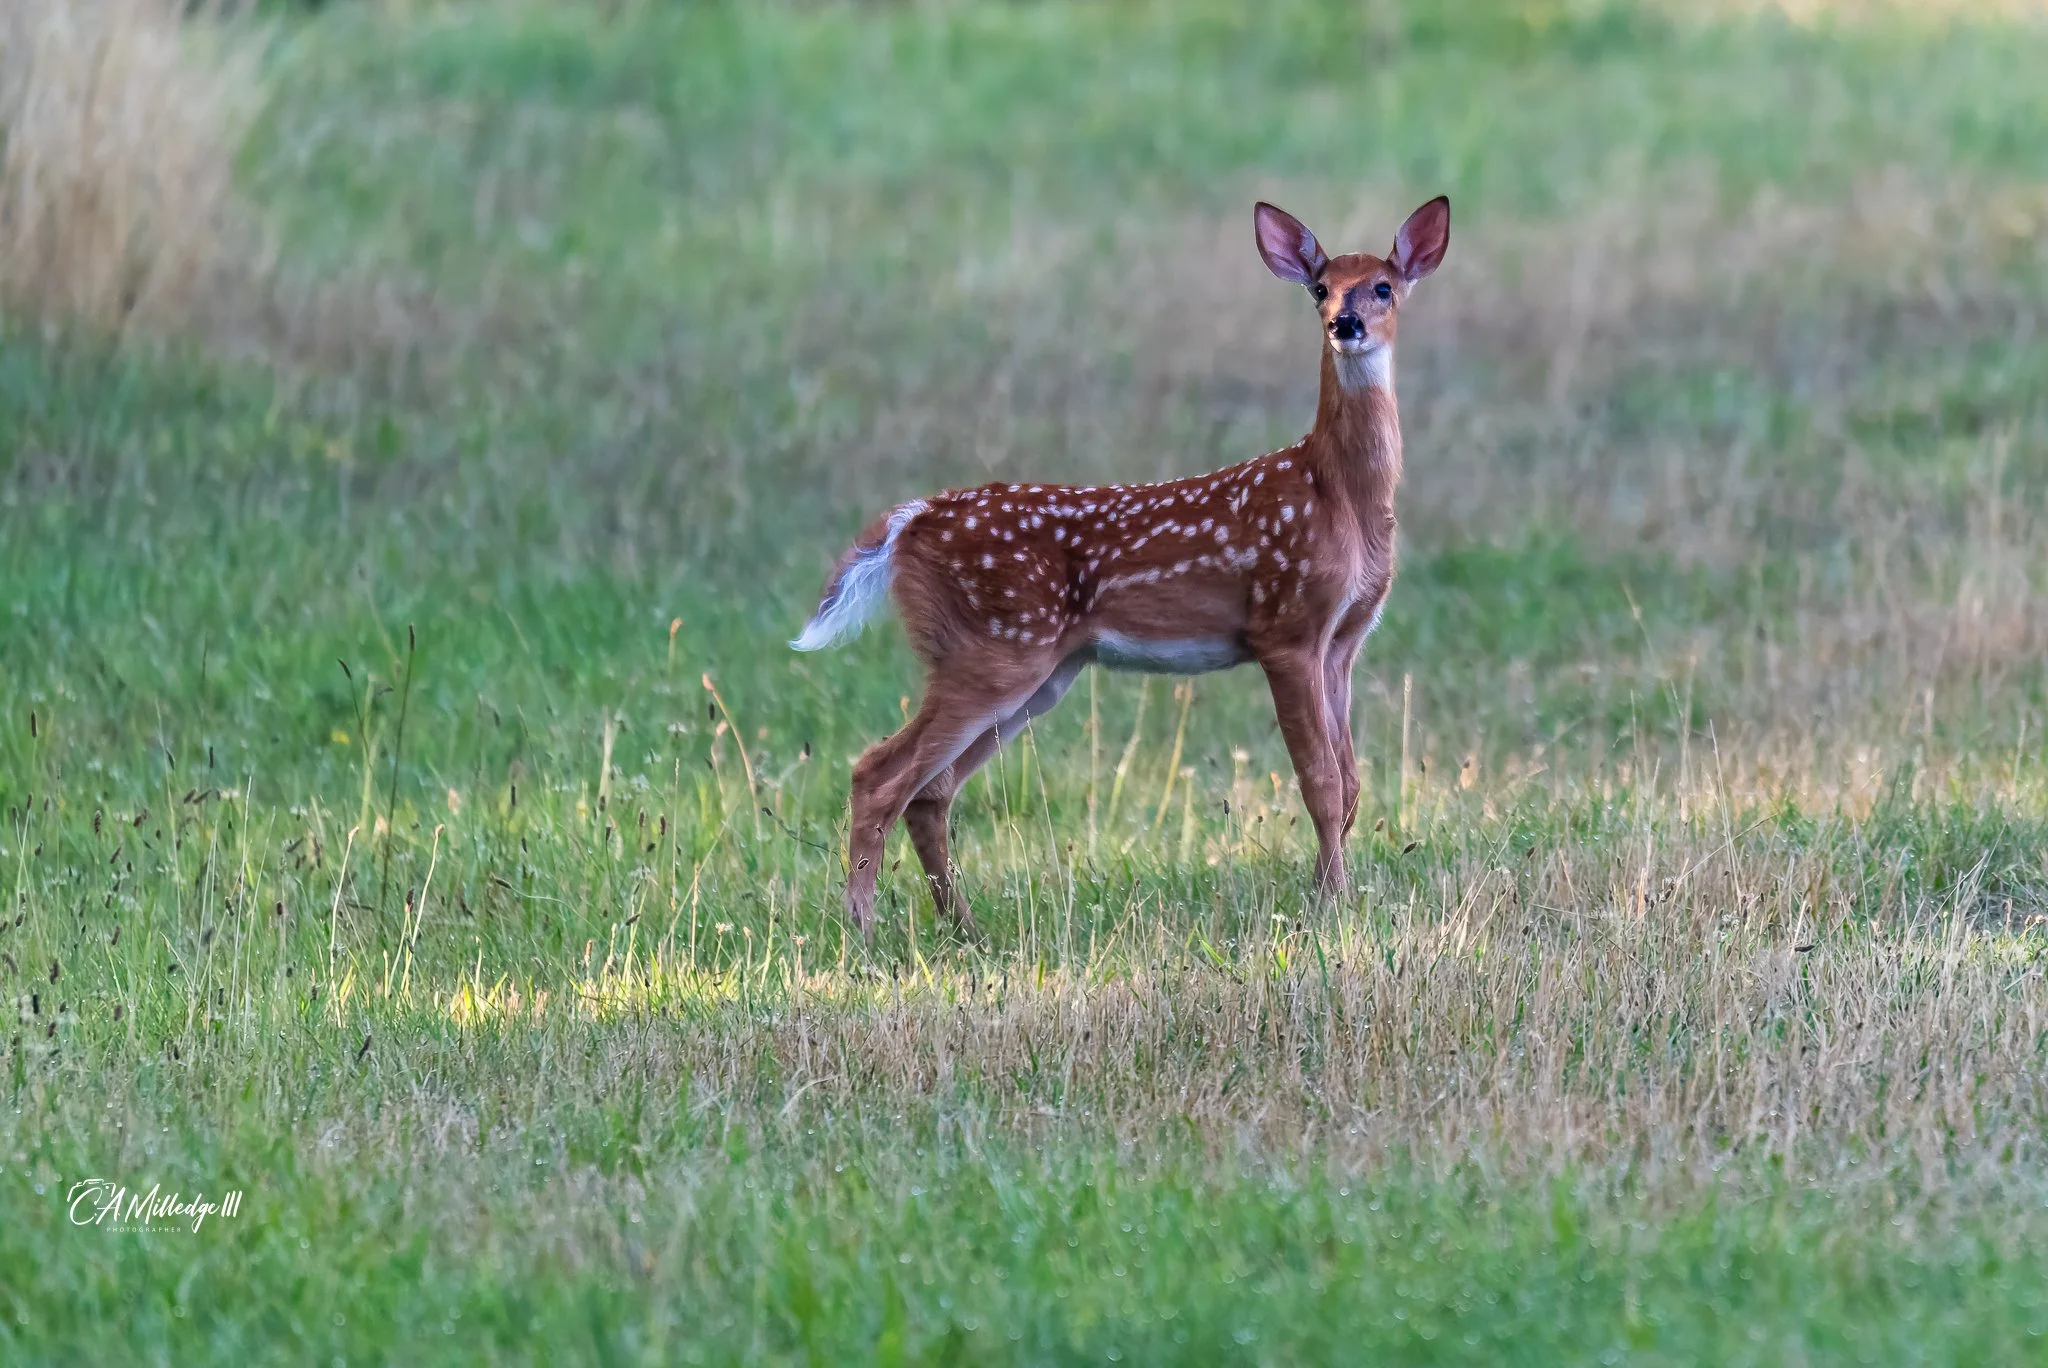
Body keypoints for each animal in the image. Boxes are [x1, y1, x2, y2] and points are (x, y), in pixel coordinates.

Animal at [793, 196, 1450, 939]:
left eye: (1383, 287)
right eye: (1320, 287)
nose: (1346, 324)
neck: (1337, 494)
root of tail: (909, 521)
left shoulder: (1342, 642)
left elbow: (1352, 782)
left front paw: (1329, 892)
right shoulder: (1286, 626)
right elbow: (1321, 782)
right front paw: (1331, 904)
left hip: (1037, 671)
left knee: (930, 791)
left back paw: (962, 925)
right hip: (996, 648)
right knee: (879, 773)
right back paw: (863, 927)